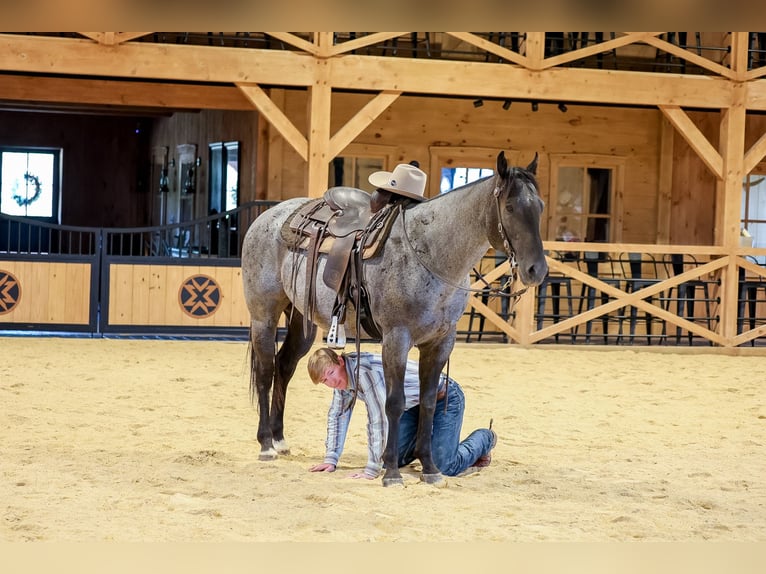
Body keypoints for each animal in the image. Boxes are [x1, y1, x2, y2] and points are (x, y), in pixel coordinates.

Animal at [241, 151, 547, 487]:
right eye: (510, 207)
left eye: (540, 206)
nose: (537, 270)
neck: (430, 254)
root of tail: (268, 217)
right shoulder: (396, 339)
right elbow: (395, 402)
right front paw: (390, 471)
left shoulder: (441, 342)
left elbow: (428, 402)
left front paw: (430, 468)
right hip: (264, 315)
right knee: (266, 371)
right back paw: (266, 444)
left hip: (301, 318)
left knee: (285, 366)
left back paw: (280, 439)